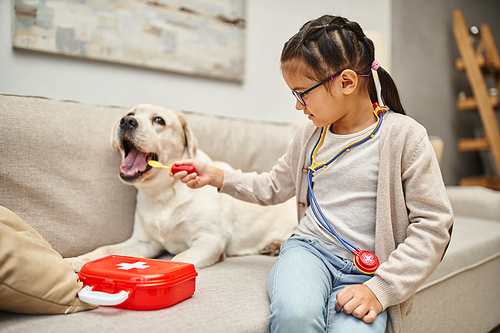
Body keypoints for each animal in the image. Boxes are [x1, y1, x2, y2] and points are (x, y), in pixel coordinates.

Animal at [64, 105, 294, 272]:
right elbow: (105, 248)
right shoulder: (143, 242)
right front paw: (77, 260)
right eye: (129, 114)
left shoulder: (209, 240)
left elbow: (179, 257)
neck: (163, 192)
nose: (126, 121)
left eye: (159, 120)